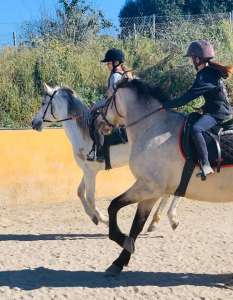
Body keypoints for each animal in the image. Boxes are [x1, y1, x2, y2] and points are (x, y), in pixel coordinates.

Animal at [31, 83, 167, 229]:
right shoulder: (87, 170)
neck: (82, 132)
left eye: (43, 103)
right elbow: (80, 192)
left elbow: (90, 198)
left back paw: (157, 220)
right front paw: (94, 218)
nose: (34, 123)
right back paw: (160, 220)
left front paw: (105, 220)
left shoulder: (90, 172)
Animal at [99, 78, 233, 276]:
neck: (152, 128)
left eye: (108, 96)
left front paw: (121, 239)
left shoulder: (148, 187)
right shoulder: (151, 192)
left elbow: (113, 206)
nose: (98, 121)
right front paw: (121, 259)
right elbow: (137, 225)